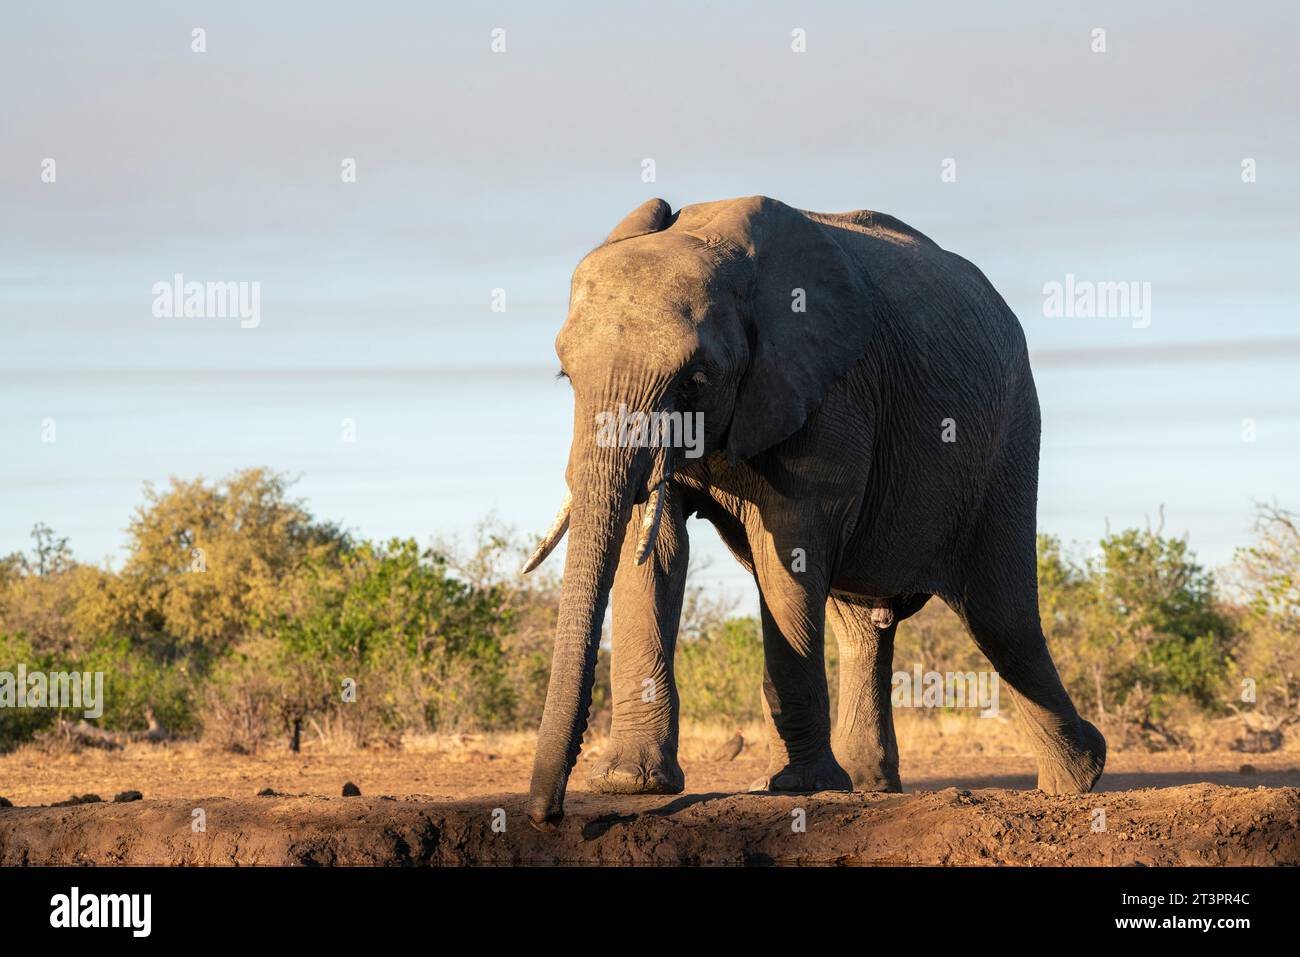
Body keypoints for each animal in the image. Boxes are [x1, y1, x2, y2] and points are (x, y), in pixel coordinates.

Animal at [520, 196, 1107, 832]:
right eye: (566, 377)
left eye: (696, 379)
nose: (547, 818)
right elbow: (655, 548)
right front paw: (632, 785)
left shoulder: (828, 390)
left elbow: (790, 545)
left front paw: (796, 788)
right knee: (868, 626)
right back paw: (870, 787)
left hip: (1010, 433)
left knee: (1002, 619)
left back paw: (1077, 779)